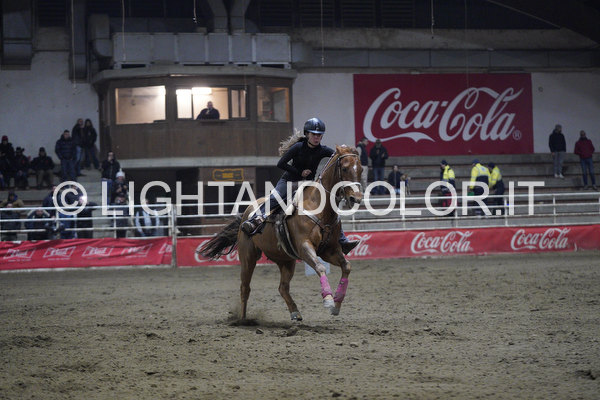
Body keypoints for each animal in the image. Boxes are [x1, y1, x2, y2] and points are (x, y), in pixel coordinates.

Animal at [199, 145, 363, 321]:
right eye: (344, 168)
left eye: (360, 168)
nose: (356, 198)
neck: (318, 206)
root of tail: (246, 214)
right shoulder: (304, 247)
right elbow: (320, 267)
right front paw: (328, 300)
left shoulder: (329, 251)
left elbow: (346, 266)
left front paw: (337, 304)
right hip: (248, 256)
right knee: (245, 287)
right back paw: (243, 319)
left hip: (285, 259)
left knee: (282, 287)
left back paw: (295, 312)